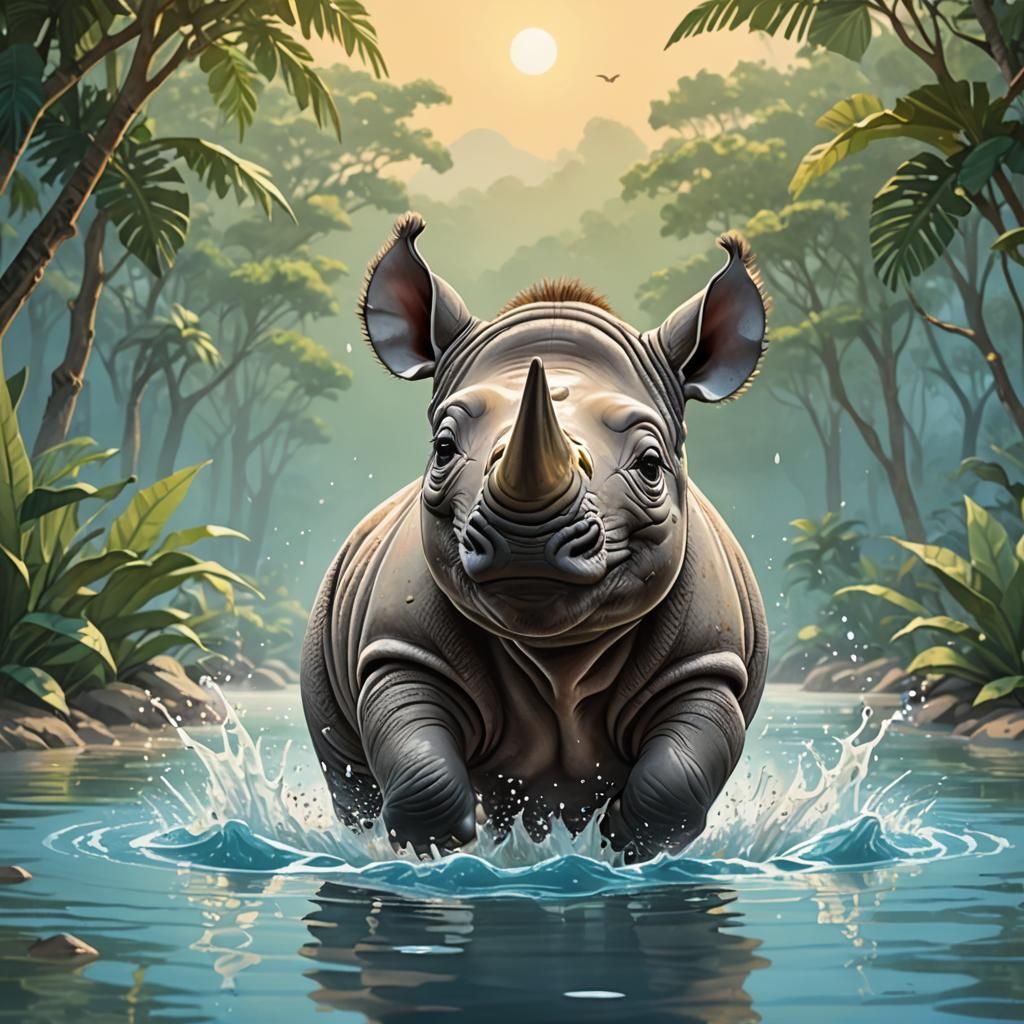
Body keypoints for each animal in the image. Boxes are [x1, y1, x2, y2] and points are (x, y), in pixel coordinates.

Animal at [301, 213, 769, 860]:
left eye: (651, 466)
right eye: (443, 450)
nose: (526, 539)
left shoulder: (706, 662)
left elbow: (674, 780)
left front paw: (621, 843)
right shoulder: (401, 649)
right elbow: (422, 772)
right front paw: (440, 852)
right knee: (350, 775)